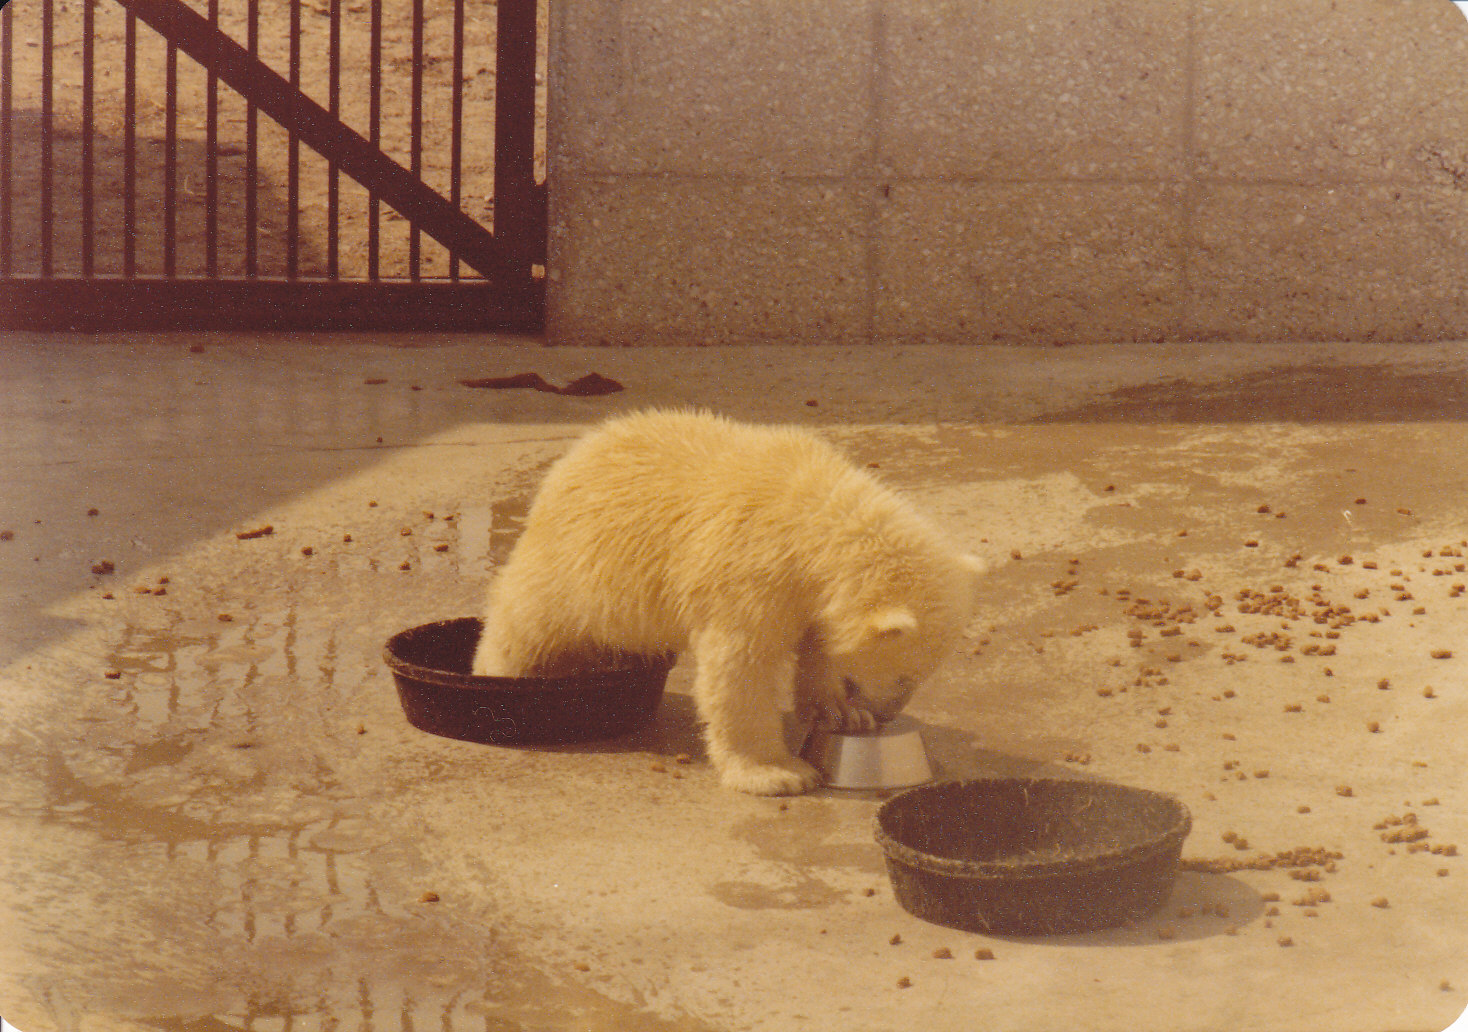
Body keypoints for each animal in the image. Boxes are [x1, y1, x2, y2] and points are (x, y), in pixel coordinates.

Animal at [472, 409, 985, 795]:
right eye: (905, 676)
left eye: (921, 675)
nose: (888, 716)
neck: (817, 518)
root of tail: (575, 456)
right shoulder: (750, 575)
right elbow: (742, 670)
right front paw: (778, 772)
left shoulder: (805, 593)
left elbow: (819, 649)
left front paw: (842, 713)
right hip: (581, 559)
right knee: (529, 614)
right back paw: (493, 671)